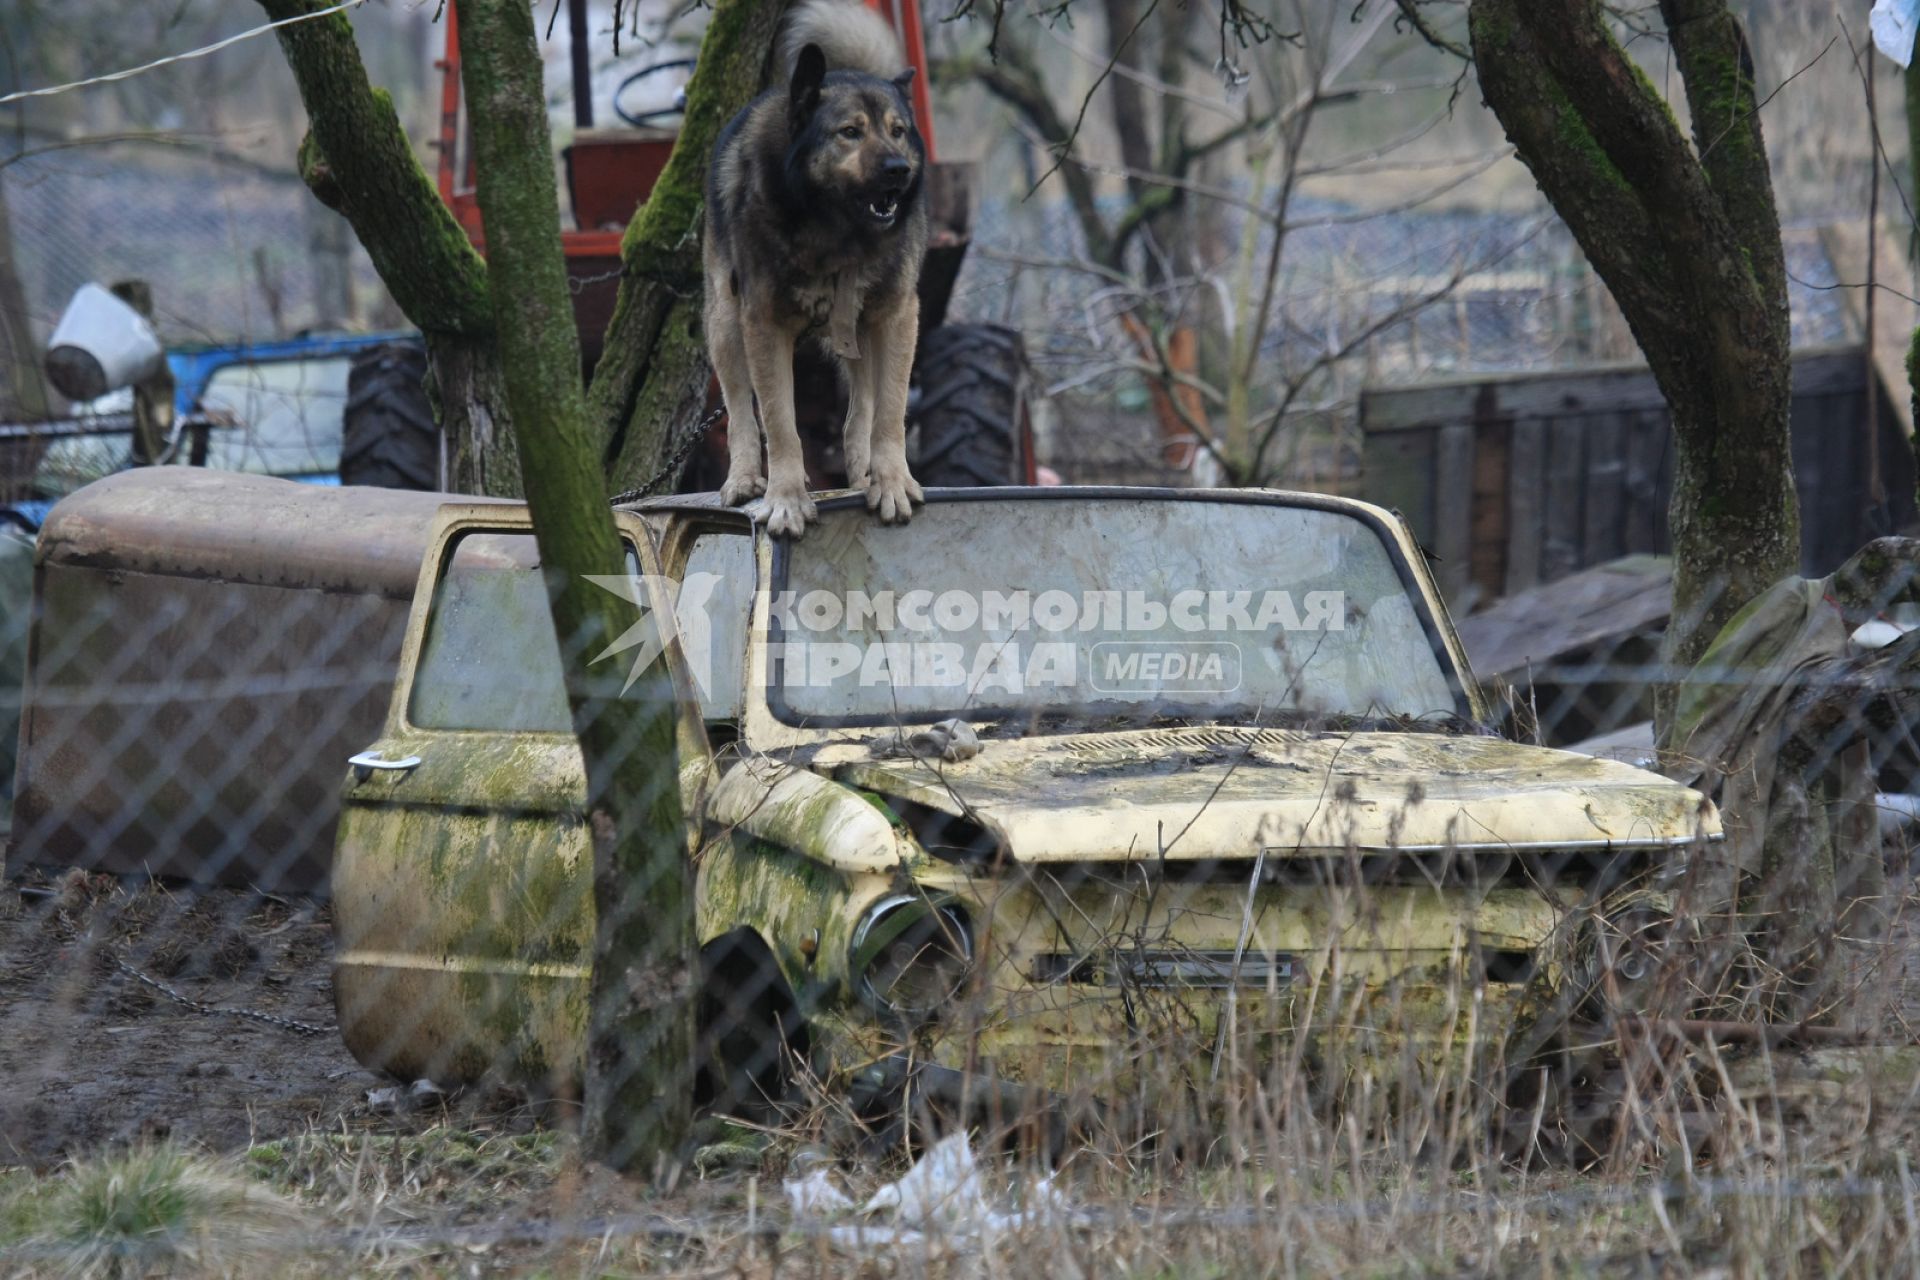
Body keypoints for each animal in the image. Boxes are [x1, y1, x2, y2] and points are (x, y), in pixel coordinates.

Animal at [706, 0, 929, 537]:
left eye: (897, 131)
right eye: (850, 132)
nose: (898, 170)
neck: (838, 234)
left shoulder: (896, 317)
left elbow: (890, 412)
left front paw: (892, 483)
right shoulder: (764, 325)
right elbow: (779, 422)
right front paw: (785, 498)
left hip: (860, 331)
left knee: (860, 410)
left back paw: (864, 471)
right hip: (724, 322)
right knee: (740, 411)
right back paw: (744, 478)